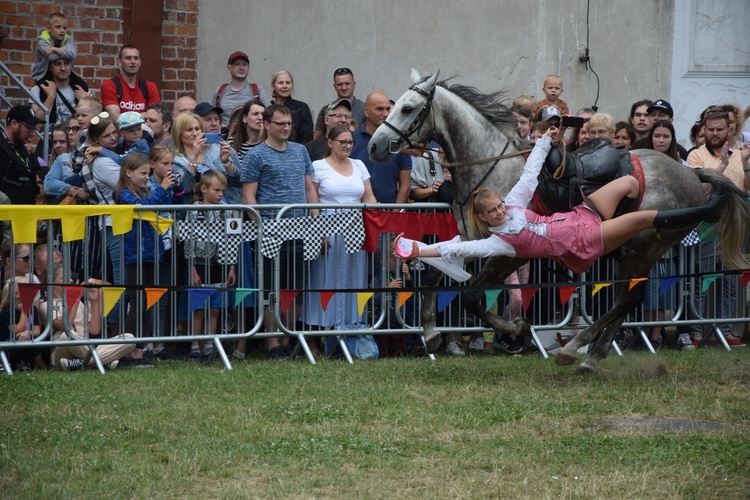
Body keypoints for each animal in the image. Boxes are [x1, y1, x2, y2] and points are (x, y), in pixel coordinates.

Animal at [372, 71, 750, 376]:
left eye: (408, 108)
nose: (376, 145)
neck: (491, 167)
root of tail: (691, 175)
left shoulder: (511, 253)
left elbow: (472, 296)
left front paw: (518, 329)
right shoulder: (471, 238)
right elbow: (436, 274)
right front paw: (431, 332)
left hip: (644, 249)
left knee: (627, 300)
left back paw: (576, 349)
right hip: (635, 252)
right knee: (630, 299)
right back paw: (590, 355)